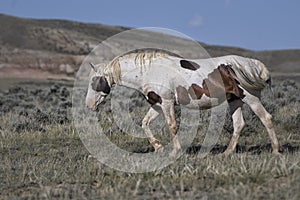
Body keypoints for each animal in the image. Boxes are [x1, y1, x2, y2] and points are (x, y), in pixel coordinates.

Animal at [85, 48, 280, 156]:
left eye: (95, 81)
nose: (89, 105)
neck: (148, 72)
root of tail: (253, 64)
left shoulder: (167, 102)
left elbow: (172, 126)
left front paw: (174, 151)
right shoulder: (157, 105)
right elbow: (145, 123)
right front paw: (158, 147)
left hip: (251, 98)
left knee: (266, 118)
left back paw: (276, 151)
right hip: (235, 100)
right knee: (239, 124)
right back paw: (227, 153)